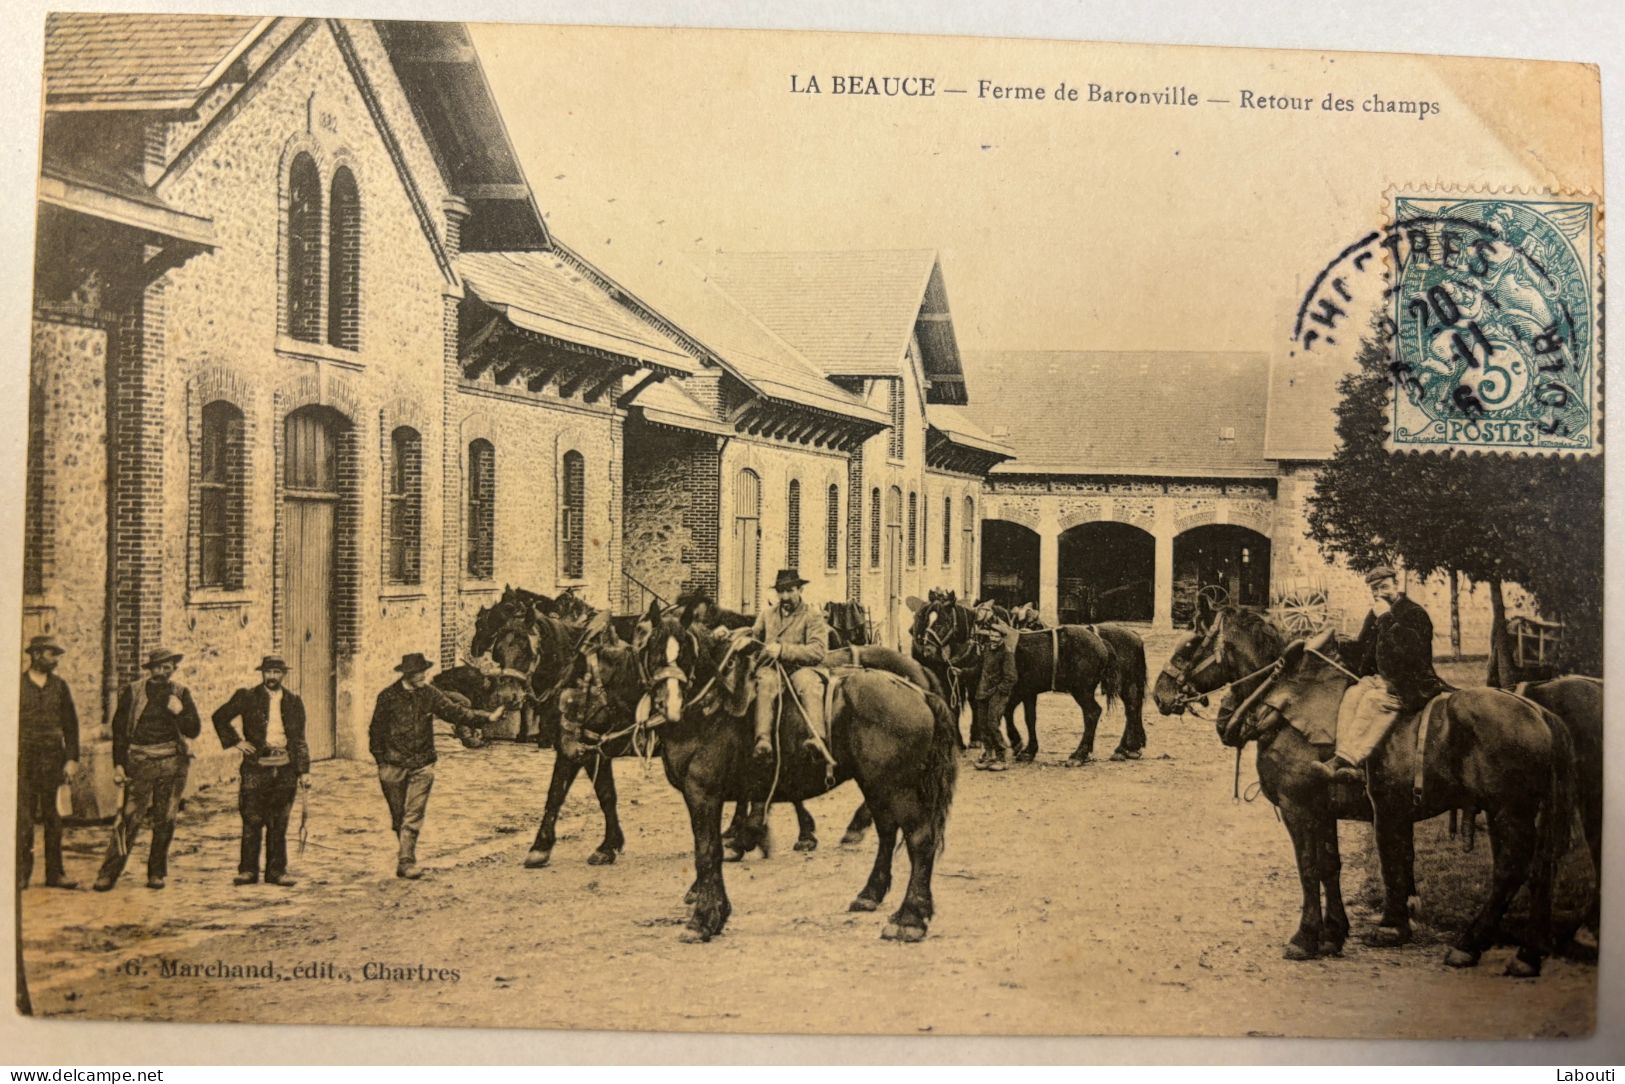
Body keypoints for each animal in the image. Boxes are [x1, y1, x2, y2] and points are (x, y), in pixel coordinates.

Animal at [630, 607, 962, 942]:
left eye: (685, 652)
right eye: (651, 650)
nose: (669, 705)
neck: (712, 705)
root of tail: (919, 692)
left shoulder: (703, 793)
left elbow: (707, 851)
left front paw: (703, 919)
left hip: (897, 787)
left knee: (920, 839)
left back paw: (910, 918)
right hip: (875, 784)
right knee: (886, 831)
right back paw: (870, 893)